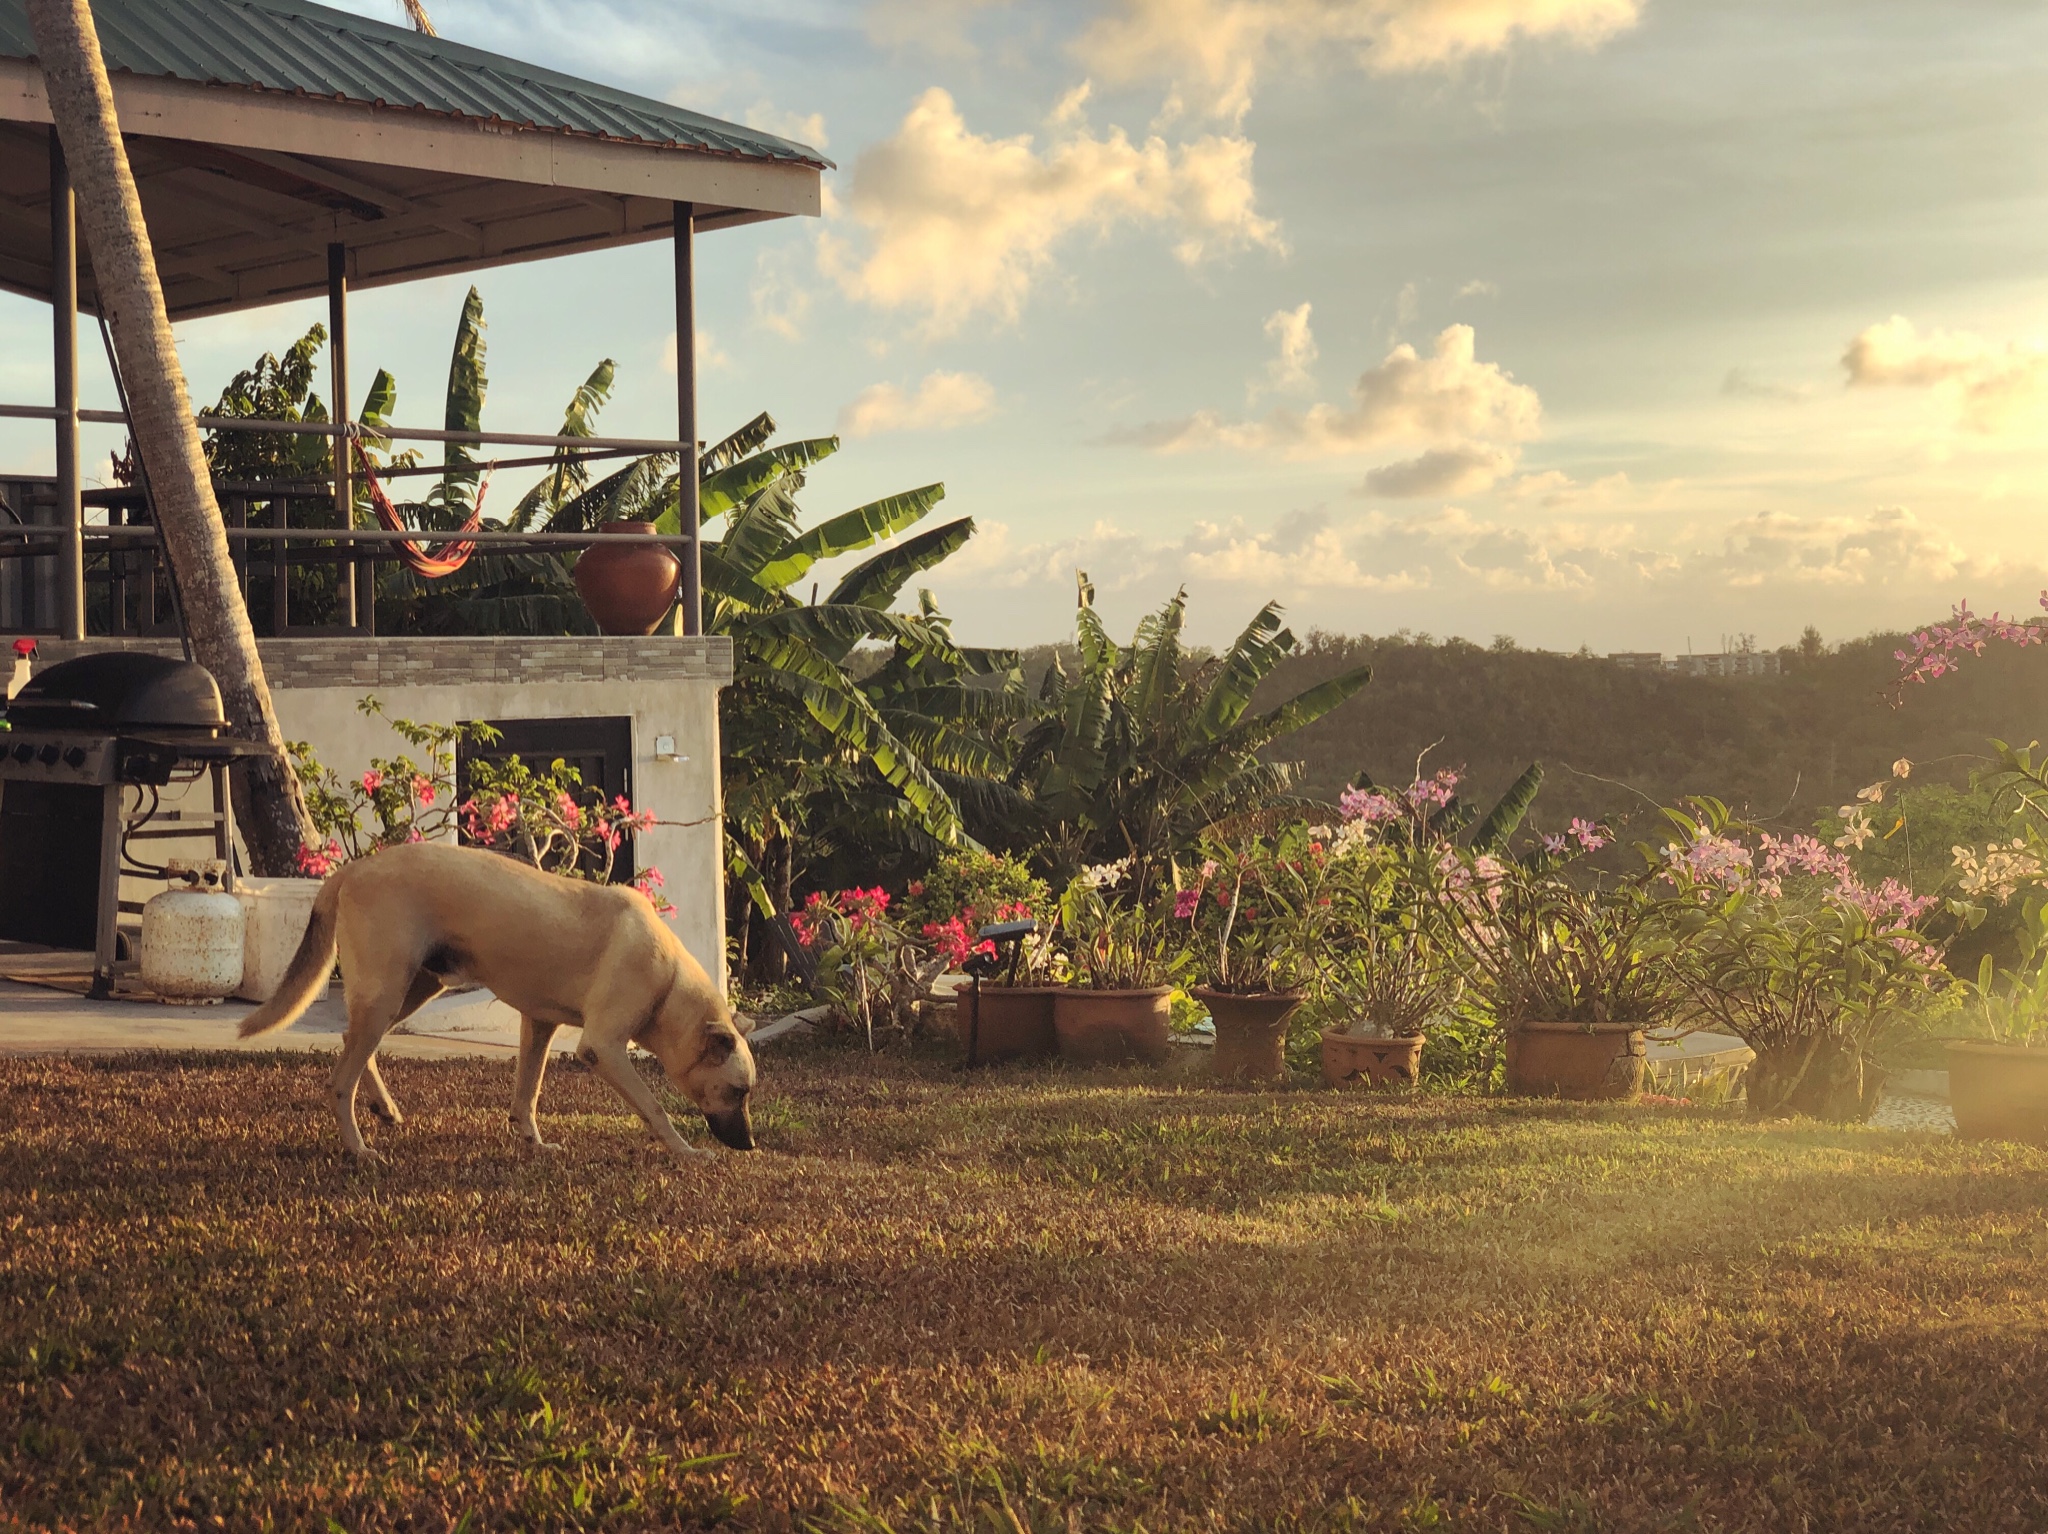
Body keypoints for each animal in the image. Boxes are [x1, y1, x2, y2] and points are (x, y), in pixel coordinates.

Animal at [239, 839, 753, 1163]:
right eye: (737, 1091)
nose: (749, 1145)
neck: (668, 982)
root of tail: (352, 868)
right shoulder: (602, 1047)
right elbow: (654, 1107)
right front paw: (686, 1152)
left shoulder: (539, 1025)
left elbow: (528, 1092)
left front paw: (534, 1143)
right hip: (388, 994)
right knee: (338, 1081)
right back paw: (358, 1148)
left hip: (411, 991)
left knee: (351, 1039)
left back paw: (384, 1109)